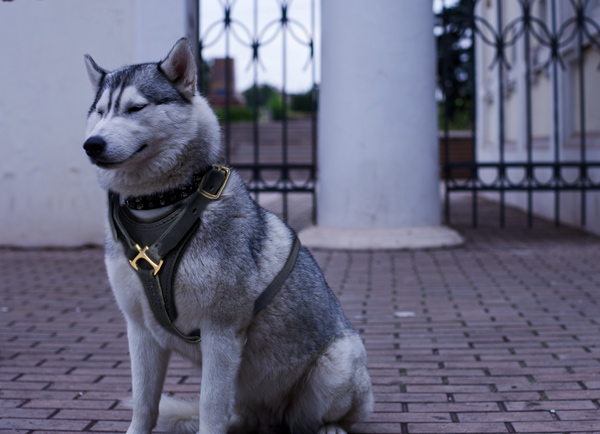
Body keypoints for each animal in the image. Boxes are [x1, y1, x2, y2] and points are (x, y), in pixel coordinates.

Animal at [82, 38, 372, 434]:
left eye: (135, 107)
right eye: (99, 112)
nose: (91, 144)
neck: (161, 206)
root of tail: (270, 417)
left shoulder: (220, 330)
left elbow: (209, 404)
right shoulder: (140, 328)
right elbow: (144, 402)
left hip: (336, 367)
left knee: (315, 419)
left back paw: (329, 427)